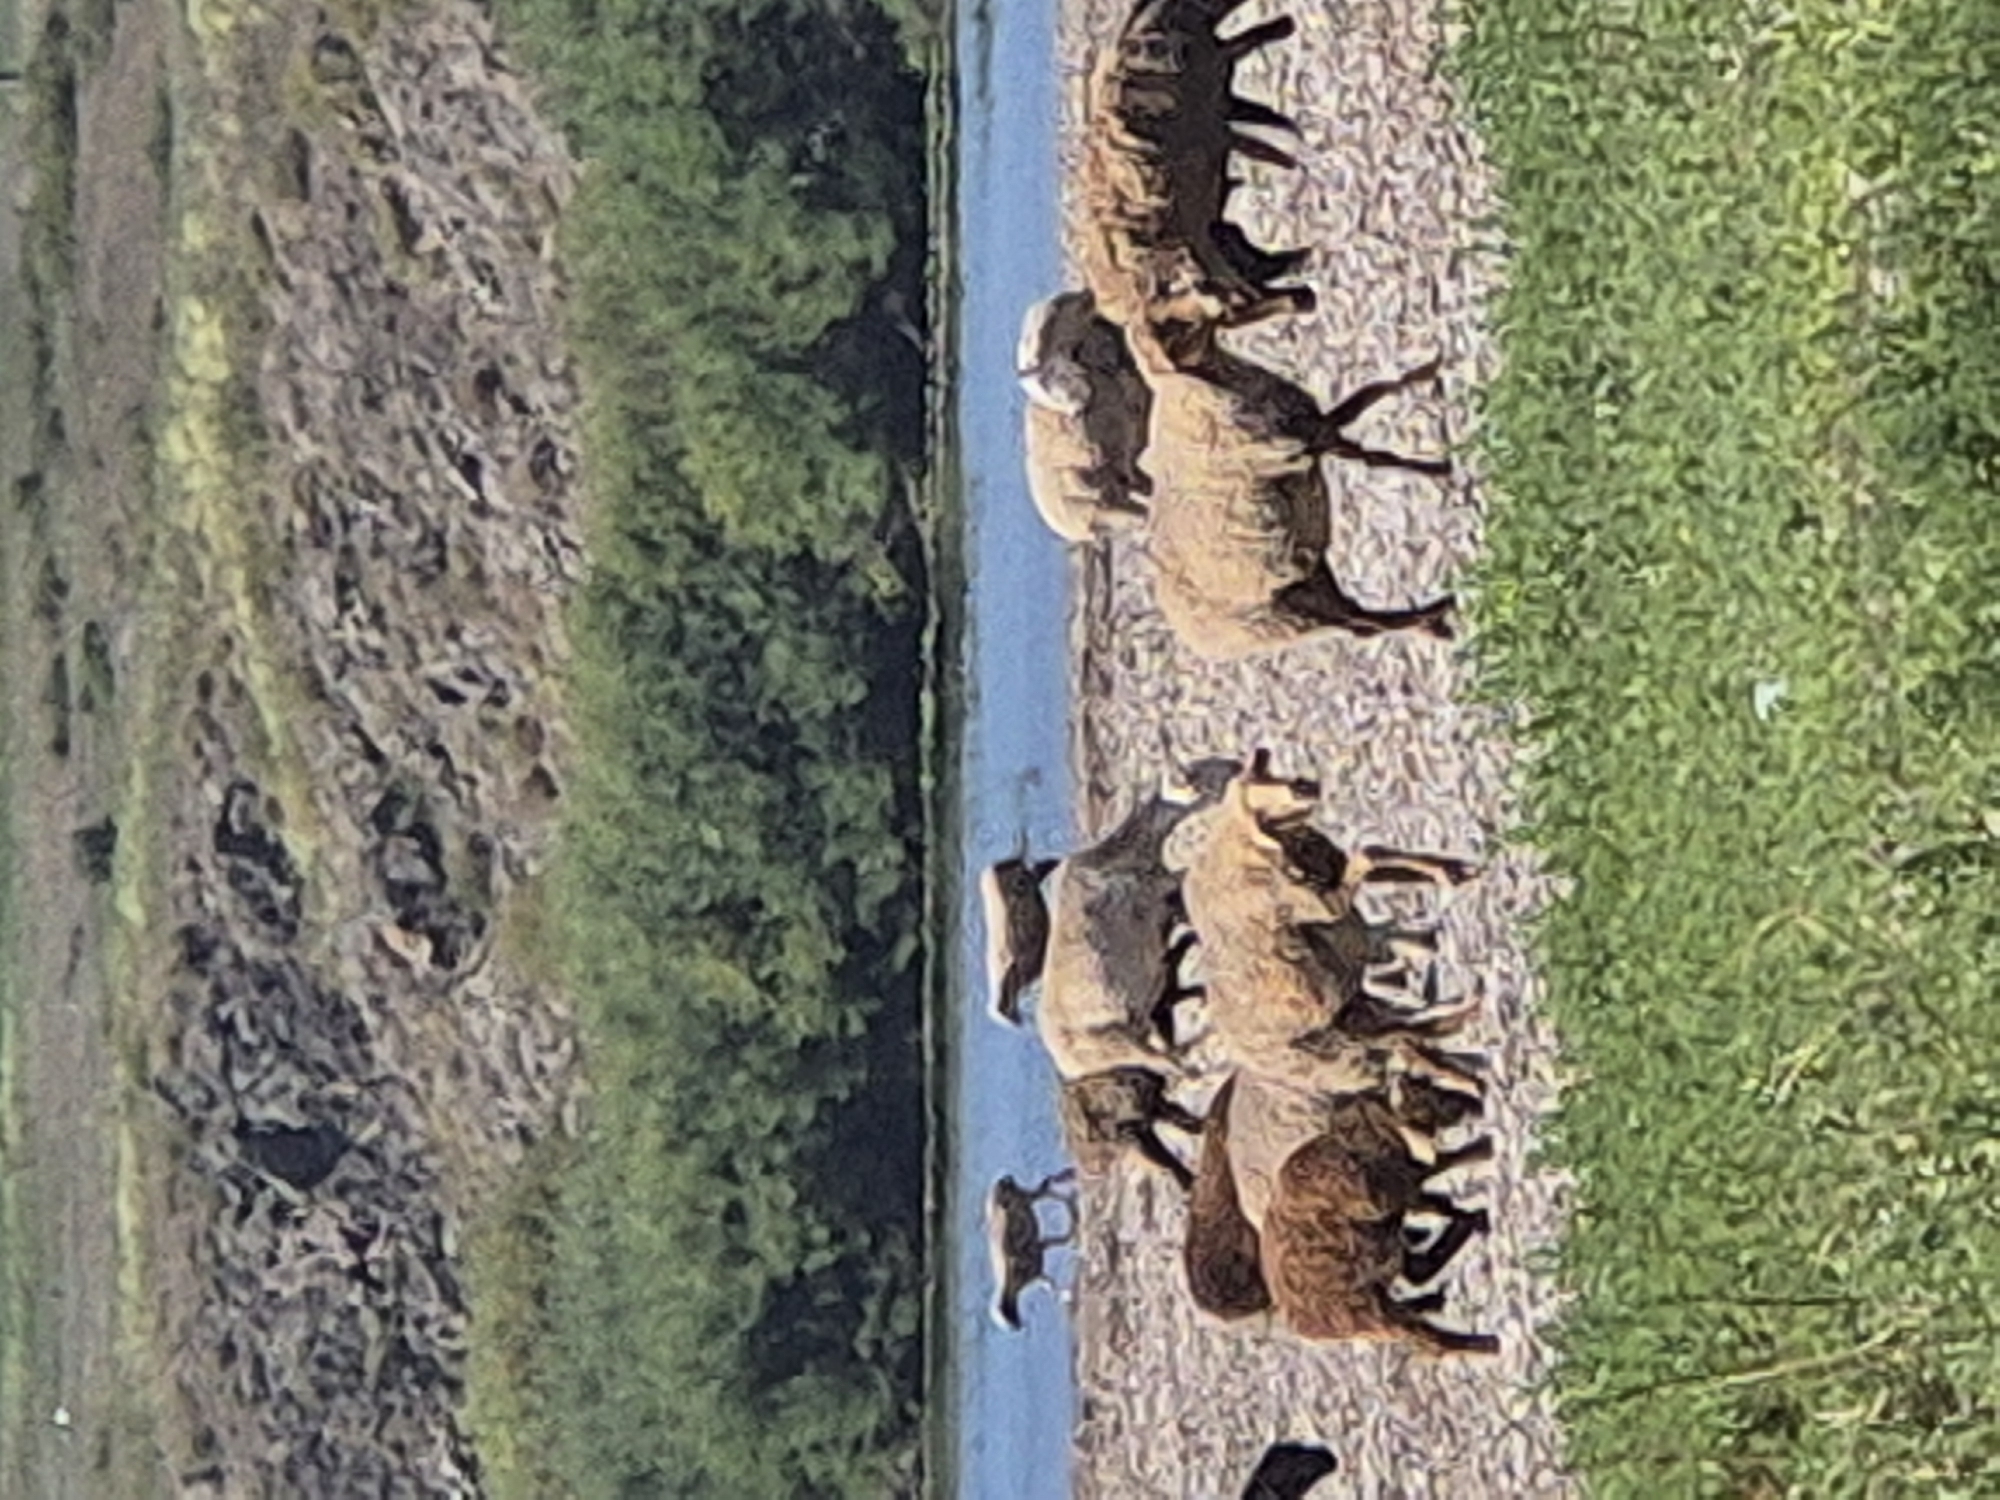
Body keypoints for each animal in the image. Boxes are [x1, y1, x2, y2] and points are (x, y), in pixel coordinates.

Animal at [986, 1168, 1081, 1331]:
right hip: (1036, 1260)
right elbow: (1053, 1191)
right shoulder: (1030, 1197)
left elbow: (1050, 1187)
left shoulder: (1029, 1195)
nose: (1007, 1178)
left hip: (1037, 1265)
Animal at [1169, 752, 1486, 1096]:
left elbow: (1377, 853)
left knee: (1402, 1037)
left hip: (1351, 1023)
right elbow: (1368, 856)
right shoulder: (1325, 905)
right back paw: (1467, 1068)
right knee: (1399, 1045)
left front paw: (1454, 870)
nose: (1305, 785)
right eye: (1255, 783)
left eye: (1264, 769)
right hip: (1344, 1047)